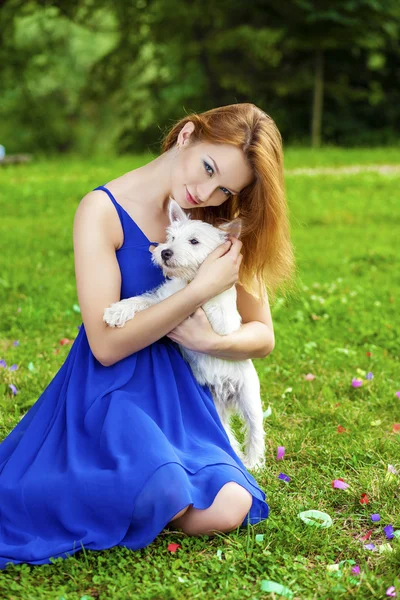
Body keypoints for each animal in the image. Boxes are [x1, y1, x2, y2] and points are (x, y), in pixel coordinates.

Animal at [103, 199, 266, 472]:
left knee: (255, 431)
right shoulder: (161, 300)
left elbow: (209, 305)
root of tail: (224, 395)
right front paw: (117, 311)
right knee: (227, 435)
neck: (188, 281)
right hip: (214, 406)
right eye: (171, 237)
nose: (165, 252)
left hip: (249, 397)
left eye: (194, 241)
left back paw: (253, 463)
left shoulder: (222, 321)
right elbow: (144, 301)